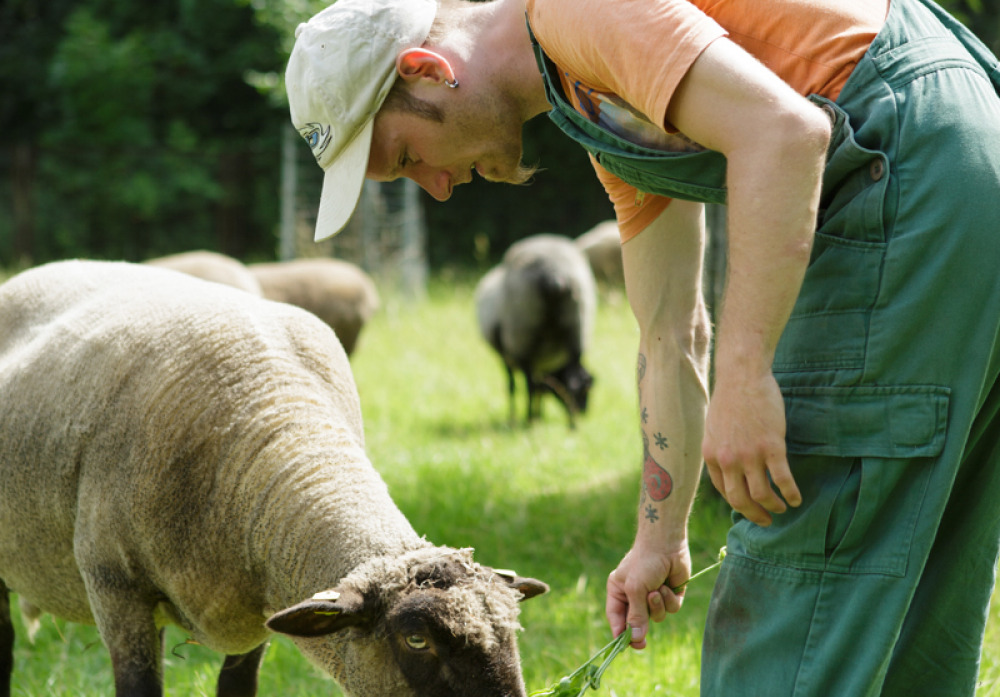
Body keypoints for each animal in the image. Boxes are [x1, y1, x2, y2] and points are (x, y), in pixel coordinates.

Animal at [474, 234, 592, 426]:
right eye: (587, 392)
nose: (584, 411)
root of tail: (554, 276)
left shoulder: (510, 356)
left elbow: (514, 386)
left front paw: (518, 416)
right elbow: (537, 388)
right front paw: (538, 414)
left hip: (523, 334)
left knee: (528, 385)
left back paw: (529, 420)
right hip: (576, 328)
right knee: (572, 381)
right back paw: (571, 424)